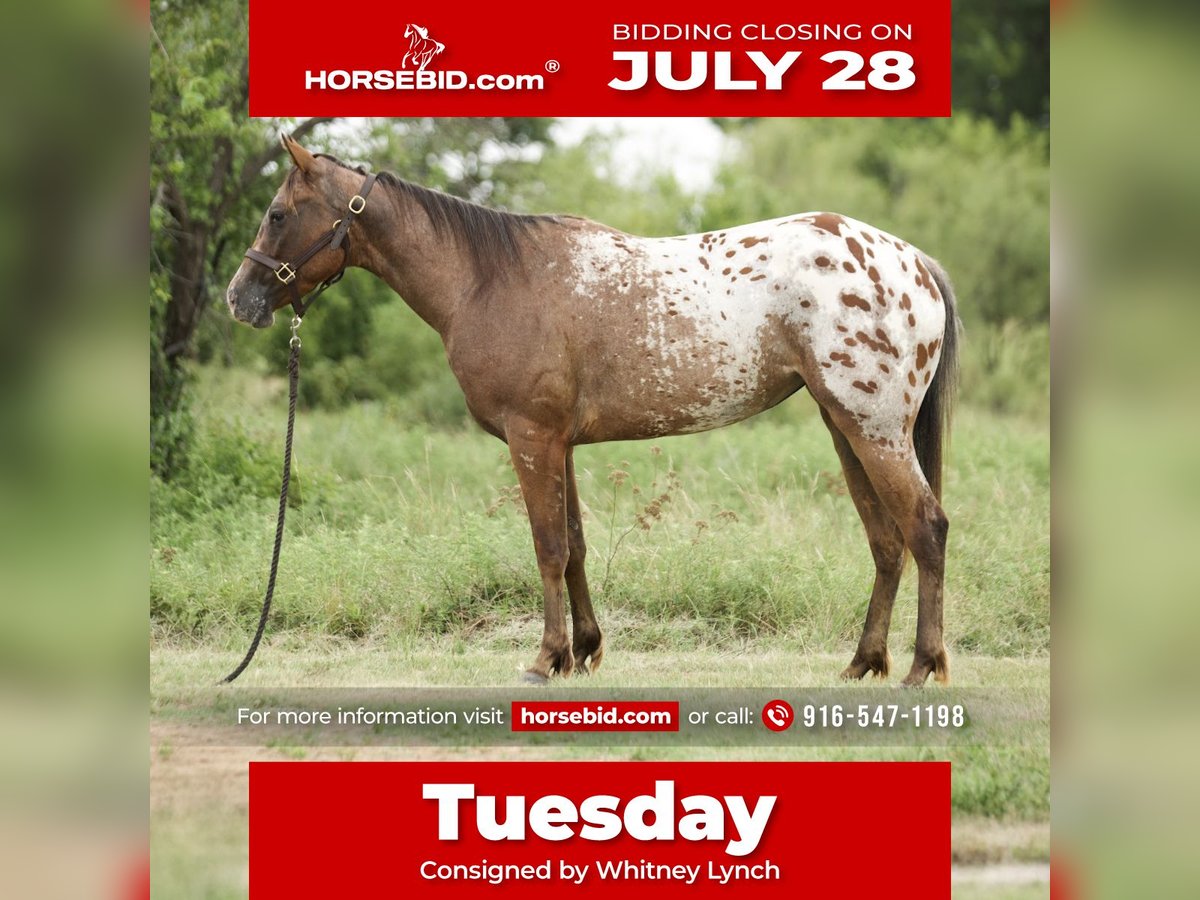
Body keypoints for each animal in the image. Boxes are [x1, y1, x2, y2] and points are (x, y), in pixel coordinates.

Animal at [225, 135, 960, 687]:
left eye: (278, 214)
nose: (238, 297)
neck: (488, 280)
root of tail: (915, 263)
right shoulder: (561, 444)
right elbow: (576, 544)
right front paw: (582, 651)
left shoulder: (532, 438)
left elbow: (548, 546)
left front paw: (544, 658)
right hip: (845, 428)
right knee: (887, 541)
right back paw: (863, 663)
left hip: (873, 429)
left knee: (925, 529)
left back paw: (920, 667)